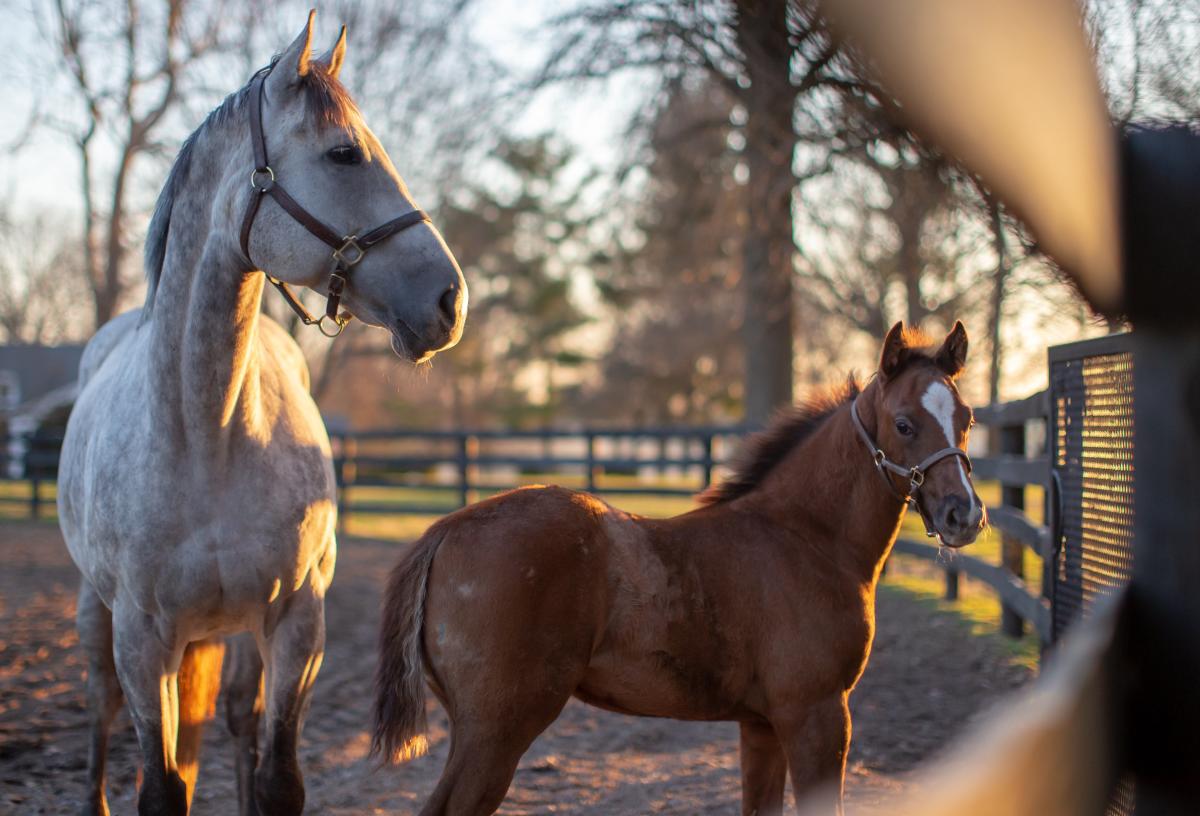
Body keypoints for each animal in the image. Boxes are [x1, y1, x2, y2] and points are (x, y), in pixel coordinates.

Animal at [58, 12, 465, 816]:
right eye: (343, 153)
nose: (450, 299)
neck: (206, 434)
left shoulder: (297, 623)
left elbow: (276, 778)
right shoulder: (141, 639)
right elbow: (163, 785)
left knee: (240, 720)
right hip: (98, 618)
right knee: (100, 709)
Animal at [374, 321, 984, 816]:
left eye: (968, 419)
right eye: (904, 424)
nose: (965, 515)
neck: (804, 537)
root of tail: (445, 531)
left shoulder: (761, 724)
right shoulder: (817, 715)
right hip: (496, 731)